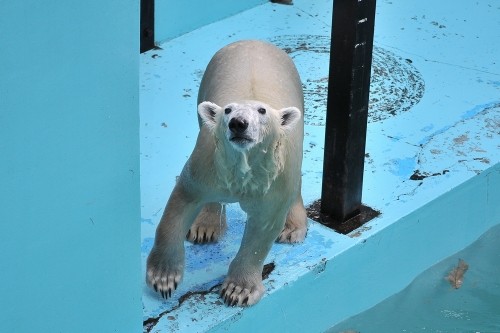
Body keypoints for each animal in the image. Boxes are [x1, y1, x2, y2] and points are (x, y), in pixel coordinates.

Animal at [146, 39, 306, 306]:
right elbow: (181, 203)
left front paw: (238, 290)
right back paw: (205, 227)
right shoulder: (206, 163)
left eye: (262, 111)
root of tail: (253, 40)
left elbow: (261, 231)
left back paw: (293, 227)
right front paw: (164, 278)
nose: (238, 123)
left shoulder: (274, 184)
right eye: (228, 110)